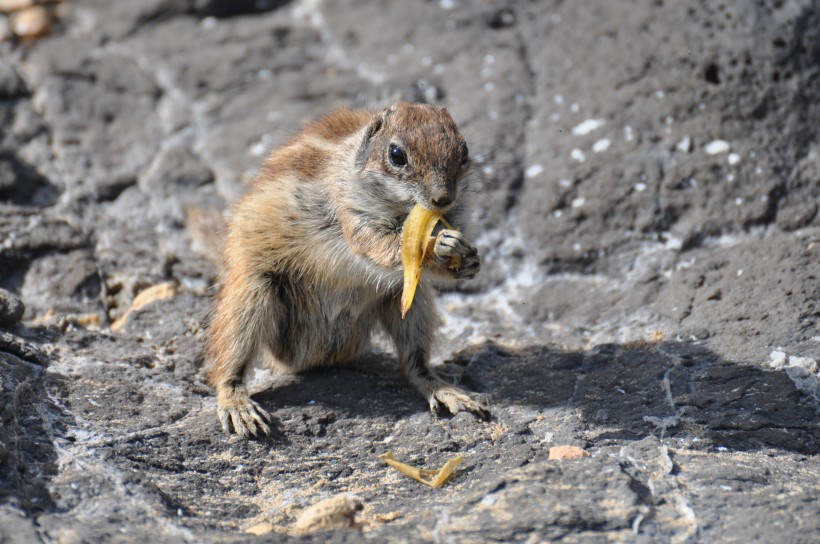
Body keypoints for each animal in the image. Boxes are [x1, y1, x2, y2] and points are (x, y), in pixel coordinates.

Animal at [204, 102, 484, 438]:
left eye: (464, 151)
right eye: (396, 155)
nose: (443, 198)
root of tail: (313, 356)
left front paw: (469, 261)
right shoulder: (349, 209)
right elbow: (380, 245)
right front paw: (437, 246)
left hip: (413, 301)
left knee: (412, 364)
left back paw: (444, 390)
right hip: (250, 295)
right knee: (227, 363)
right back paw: (238, 406)